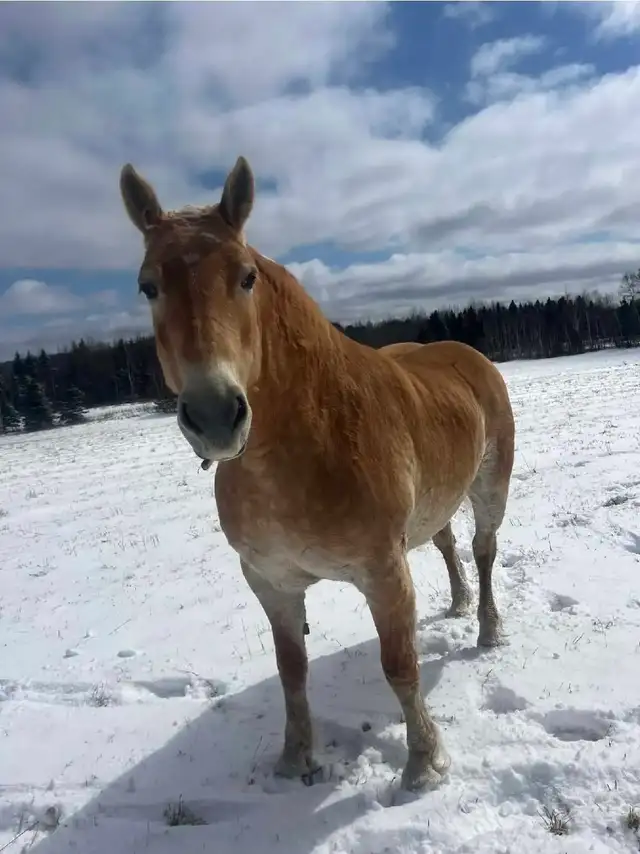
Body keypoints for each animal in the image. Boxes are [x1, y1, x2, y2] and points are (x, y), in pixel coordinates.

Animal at [118, 155, 515, 792]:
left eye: (246, 277)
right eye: (147, 285)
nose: (215, 415)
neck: (296, 451)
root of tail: (466, 354)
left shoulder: (383, 572)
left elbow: (400, 666)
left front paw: (423, 765)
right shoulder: (270, 582)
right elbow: (291, 671)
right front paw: (295, 759)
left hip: (490, 488)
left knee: (483, 550)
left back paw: (486, 629)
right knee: (449, 545)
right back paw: (457, 605)